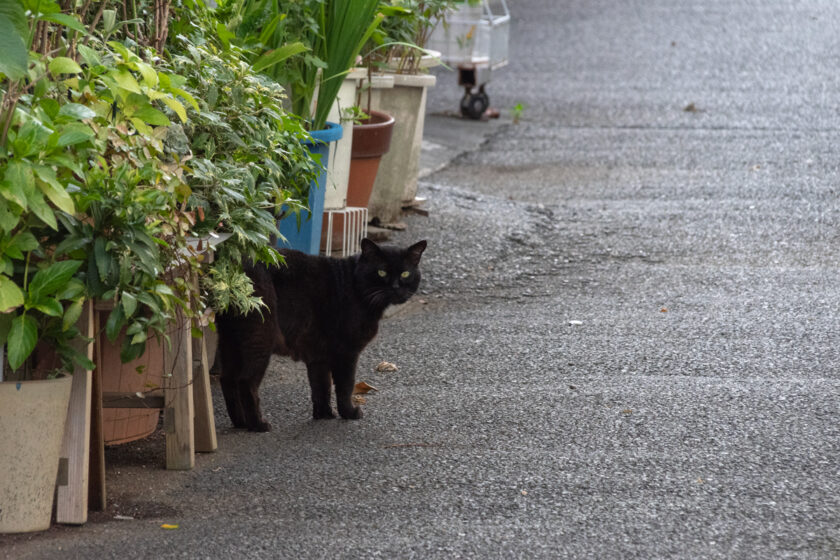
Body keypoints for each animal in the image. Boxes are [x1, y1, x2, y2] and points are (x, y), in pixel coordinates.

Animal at [217, 237, 426, 428]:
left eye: (405, 273)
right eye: (381, 272)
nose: (396, 287)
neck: (355, 286)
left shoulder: (318, 355)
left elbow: (321, 386)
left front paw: (324, 415)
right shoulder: (346, 352)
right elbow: (345, 386)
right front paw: (349, 413)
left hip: (230, 342)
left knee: (226, 379)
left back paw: (239, 422)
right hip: (260, 339)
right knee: (245, 382)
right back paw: (258, 425)